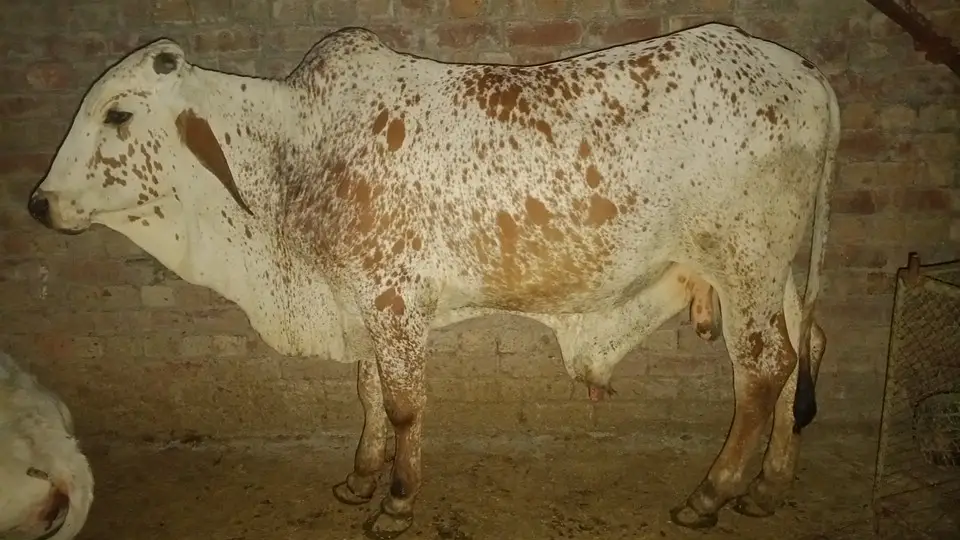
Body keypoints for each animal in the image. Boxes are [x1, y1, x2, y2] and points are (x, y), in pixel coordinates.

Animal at [27, 22, 837, 538]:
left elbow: (405, 405)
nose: (39, 202)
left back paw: (712, 494)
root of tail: (807, 74)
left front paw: (396, 502)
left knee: (763, 370)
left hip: (745, 261)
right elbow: (369, 398)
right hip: (770, 270)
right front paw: (360, 478)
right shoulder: (360, 305)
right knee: (805, 348)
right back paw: (769, 489)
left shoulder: (394, 302)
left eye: (119, 113)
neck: (297, 155)